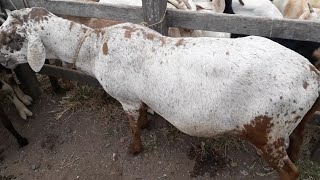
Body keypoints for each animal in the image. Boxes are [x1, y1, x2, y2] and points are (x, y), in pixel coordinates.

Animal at [0, 6, 320, 179]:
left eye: (11, 37)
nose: (2, 63)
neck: (92, 45)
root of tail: (312, 76)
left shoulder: (126, 97)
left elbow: (132, 125)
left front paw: (134, 148)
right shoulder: (137, 97)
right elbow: (143, 114)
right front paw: (147, 124)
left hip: (268, 130)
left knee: (290, 171)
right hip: (294, 121)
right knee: (297, 146)